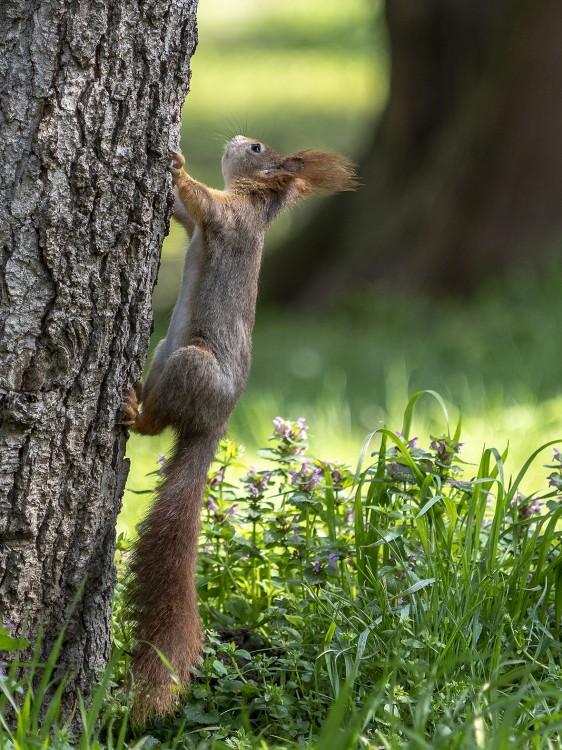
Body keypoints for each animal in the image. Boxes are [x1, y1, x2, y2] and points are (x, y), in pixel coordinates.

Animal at [122, 135, 354, 724]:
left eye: (254, 148)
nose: (235, 138)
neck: (259, 205)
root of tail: (214, 425)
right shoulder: (209, 223)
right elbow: (185, 216)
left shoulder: (229, 218)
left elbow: (200, 203)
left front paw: (178, 165)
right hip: (165, 357)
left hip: (191, 364)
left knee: (157, 426)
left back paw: (134, 413)